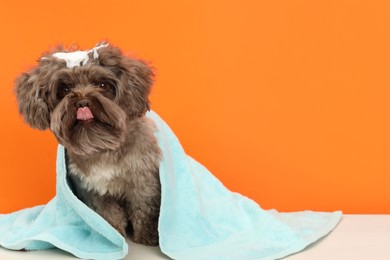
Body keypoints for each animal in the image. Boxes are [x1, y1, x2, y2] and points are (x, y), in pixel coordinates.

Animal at [14, 42, 161, 246]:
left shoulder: (144, 183)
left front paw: (148, 235)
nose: (82, 101)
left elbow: (144, 209)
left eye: (102, 84)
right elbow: (108, 216)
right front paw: (112, 236)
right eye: (64, 89)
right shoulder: (95, 191)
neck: (101, 146)